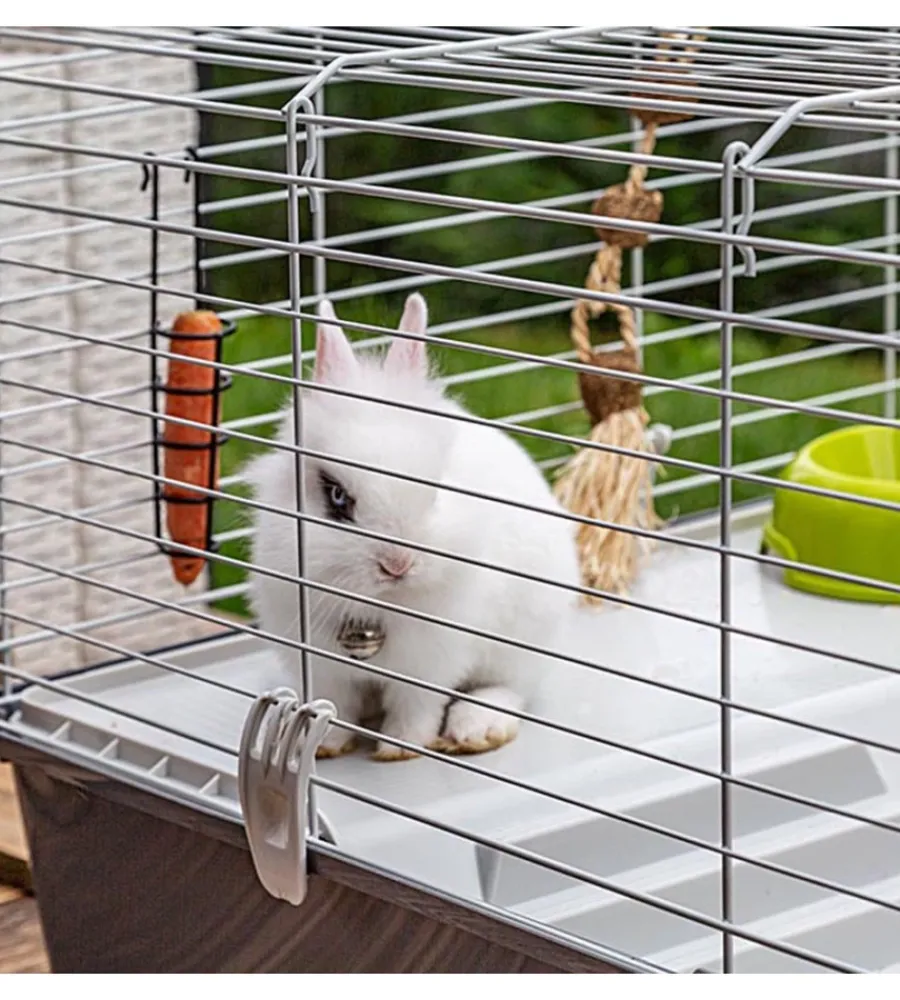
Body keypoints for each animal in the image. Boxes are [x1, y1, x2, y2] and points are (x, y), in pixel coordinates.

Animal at [246, 292, 583, 761]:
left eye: (435, 490)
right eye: (336, 497)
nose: (397, 565)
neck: (378, 606)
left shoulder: (430, 660)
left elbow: (417, 706)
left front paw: (398, 749)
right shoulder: (319, 659)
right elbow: (336, 703)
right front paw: (323, 745)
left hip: (524, 639)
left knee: (509, 689)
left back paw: (475, 728)